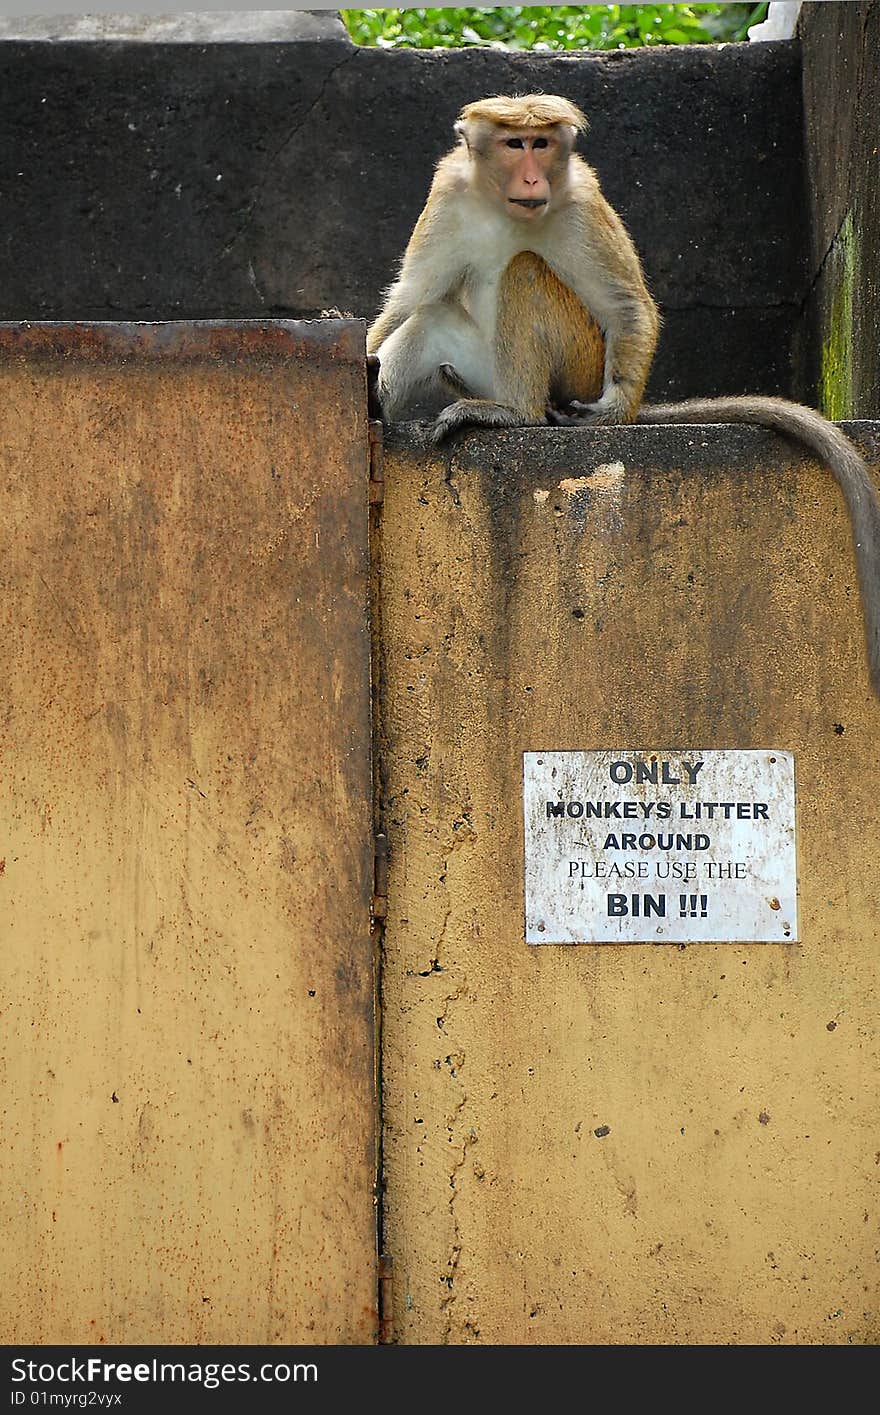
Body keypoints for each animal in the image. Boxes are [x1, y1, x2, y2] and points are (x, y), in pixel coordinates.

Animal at [367, 91, 880, 693]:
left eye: (543, 143)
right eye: (515, 143)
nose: (533, 176)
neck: (504, 209)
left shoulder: (583, 201)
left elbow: (626, 304)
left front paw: (610, 412)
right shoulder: (447, 196)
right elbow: (408, 298)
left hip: (580, 364)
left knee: (526, 272)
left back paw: (515, 414)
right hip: (481, 366)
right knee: (430, 316)